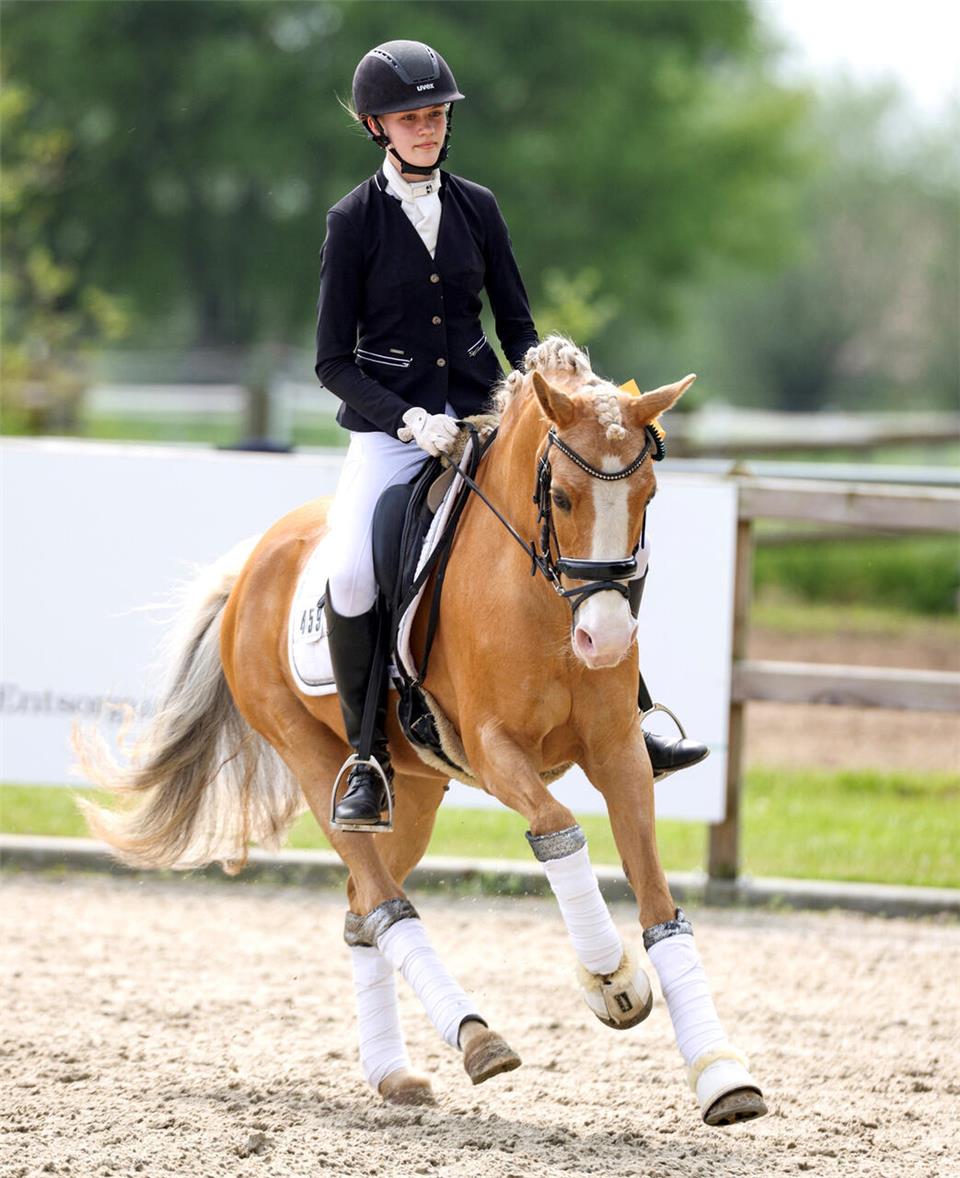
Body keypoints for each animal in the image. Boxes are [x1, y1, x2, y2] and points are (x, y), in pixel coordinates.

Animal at [78, 336, 766, 1126]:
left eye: (648, 496)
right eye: (562, 497)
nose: (607, 640)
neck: (538, 598)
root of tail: (252, 562)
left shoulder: (618, 750)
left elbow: (658, 901)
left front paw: (722, 1075)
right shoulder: (494, 751)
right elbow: (558, 829)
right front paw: (608, 977)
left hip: (413, 789)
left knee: (360, 909)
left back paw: (394, 1072)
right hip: (315, 759)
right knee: (383, 899)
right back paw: (476, 1036)